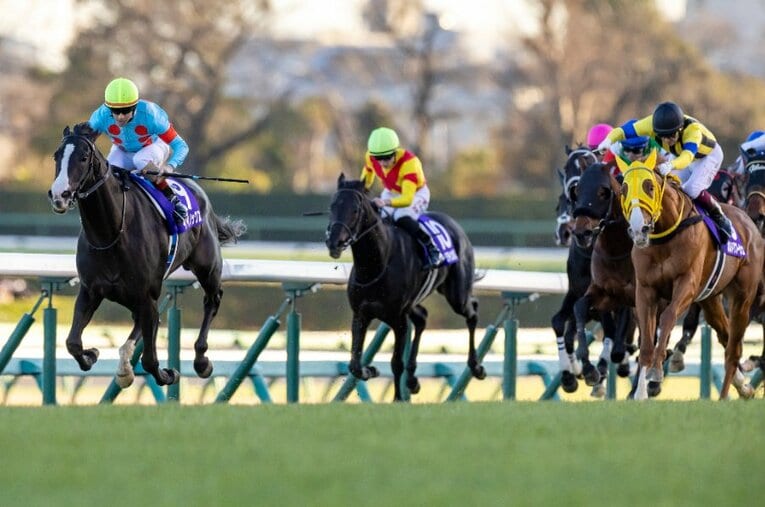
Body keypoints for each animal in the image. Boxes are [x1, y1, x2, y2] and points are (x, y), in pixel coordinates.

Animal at [48, 123, 245, 388]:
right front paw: (92, 354)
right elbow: (73, 343)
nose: (60, 195)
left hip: (208, 267)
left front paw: (169, 374)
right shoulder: (91, 291)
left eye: (83, 157)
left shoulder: (147, 294)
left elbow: (151, 360)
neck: (111, 233)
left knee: (212, 299)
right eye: (56, 156)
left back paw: (202, 360)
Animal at [324, 174, 484, 401]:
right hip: (416, 302)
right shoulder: (361, 314)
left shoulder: (398, 319)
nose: (334, 243)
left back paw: (476, 366)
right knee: (422, 317)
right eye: (333, 206)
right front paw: (370, 370)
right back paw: (412, 380)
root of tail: (455, 225)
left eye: (355, 210)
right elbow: (354, 364)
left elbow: (396, 363)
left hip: (457, 294)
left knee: (472, 311)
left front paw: (398, 398)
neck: (378, 264)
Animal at [618, 150, 763, 400]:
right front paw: (640, 394)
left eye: (649, 186)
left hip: (743, 296)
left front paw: (657, 370)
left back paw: (725, 395)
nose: (638, 229)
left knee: (733, 348)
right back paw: (743, 386)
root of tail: (748, 222)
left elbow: (668, 317)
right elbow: (646, 339)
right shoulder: (646, 290)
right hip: (711, 298)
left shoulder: (686, 283)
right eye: (624, 189)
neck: (665, 236)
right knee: (725, 335)